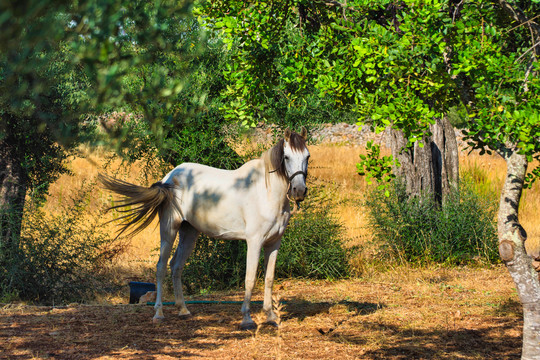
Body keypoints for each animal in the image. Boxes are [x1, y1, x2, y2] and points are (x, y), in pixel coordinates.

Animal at [99, 127, 310, 330]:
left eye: (307, 156)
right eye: (286, 157)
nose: (299, 191)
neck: (266, 193)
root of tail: (169, 178)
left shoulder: (274, 243)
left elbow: (269, 279)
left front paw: (271, 317)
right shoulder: (254, 242)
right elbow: (250, 279)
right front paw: (247, 319)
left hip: (189, 232)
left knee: (176, 265)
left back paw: (183, 310)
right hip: (169, 230)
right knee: (161, 267)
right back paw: (158, 313)